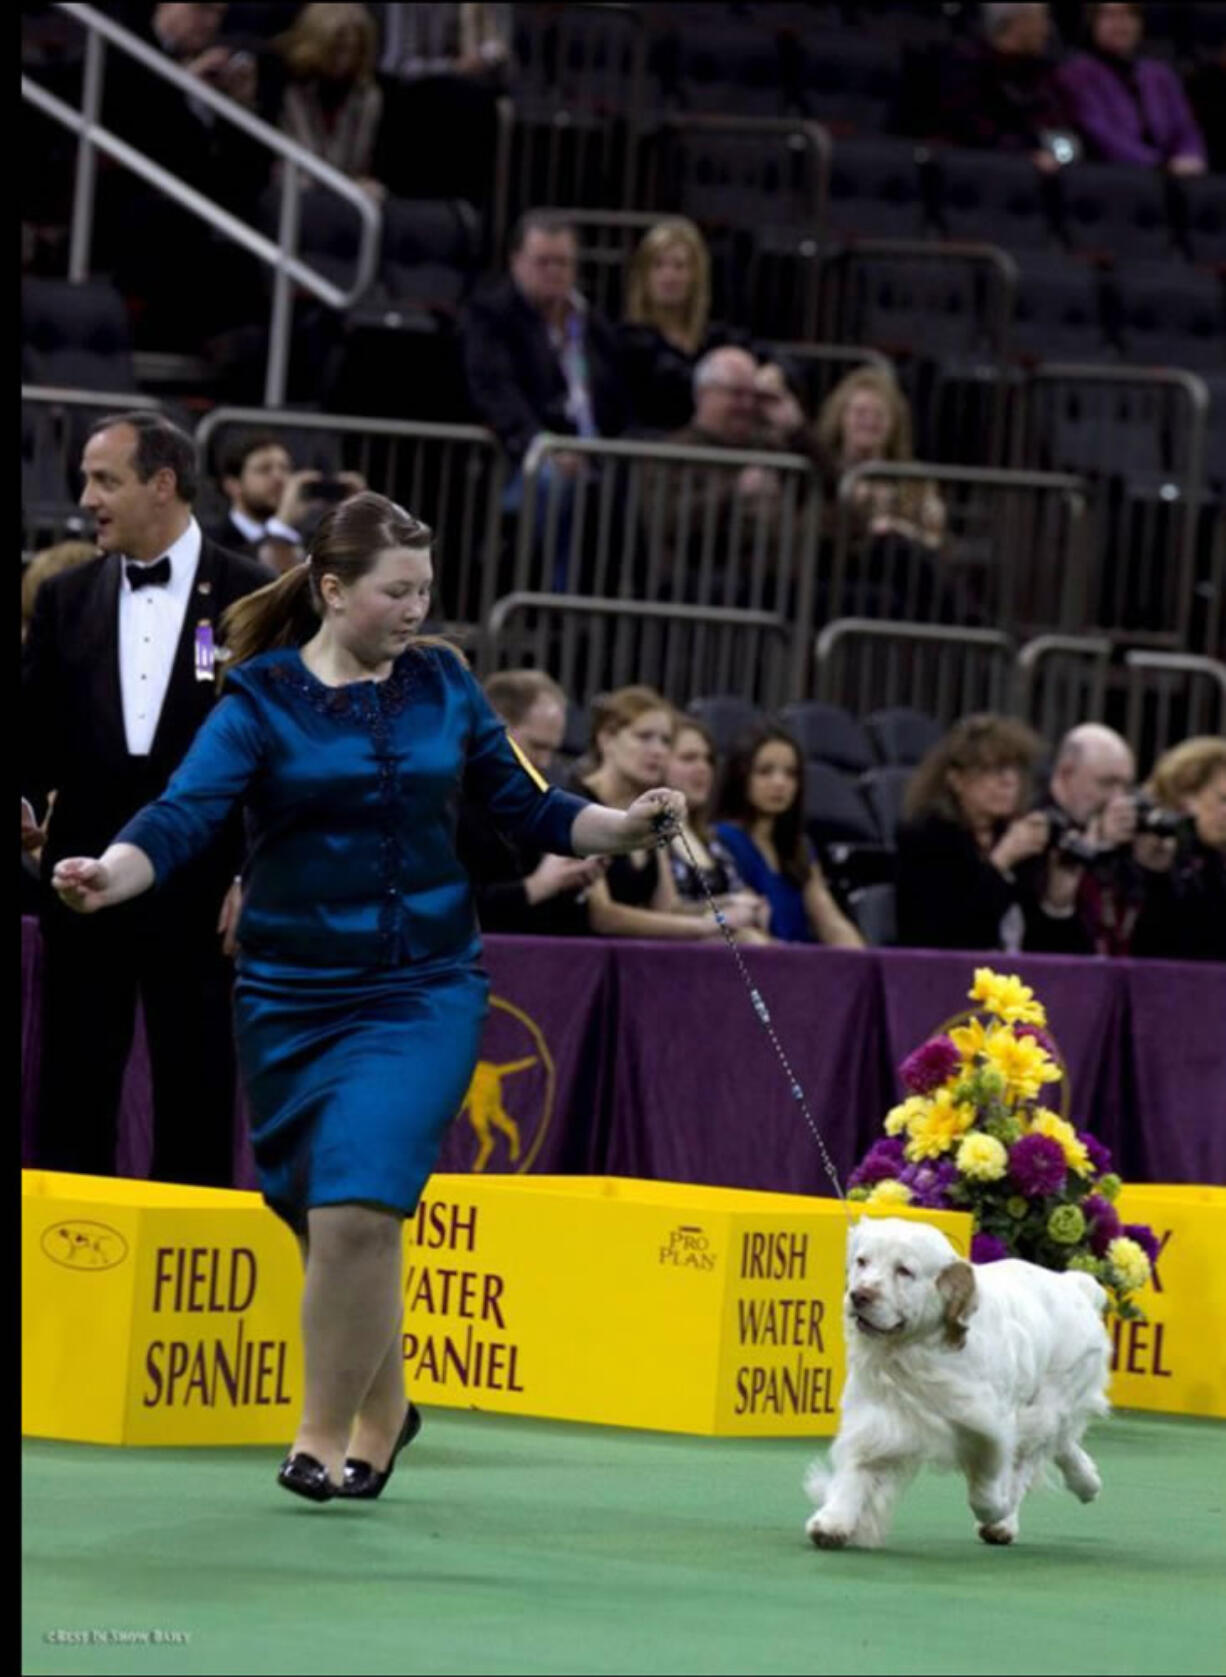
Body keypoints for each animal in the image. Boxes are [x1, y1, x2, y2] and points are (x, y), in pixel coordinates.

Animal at [805, 1220, 1113, 1542]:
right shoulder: (877, 1418)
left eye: (904, 1270)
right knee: (1063, 1445)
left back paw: (1006, 1522)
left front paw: (997, 1509)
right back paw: (1088, 1483)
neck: (915, 1352)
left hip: (1049, 1403)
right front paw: (833, 1521)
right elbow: (858, 1468)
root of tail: (1074, 1285)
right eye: (862, 1261)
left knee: (1031, 1459)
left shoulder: (989, 1426)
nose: (859, 1295)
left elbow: (988, 1488)